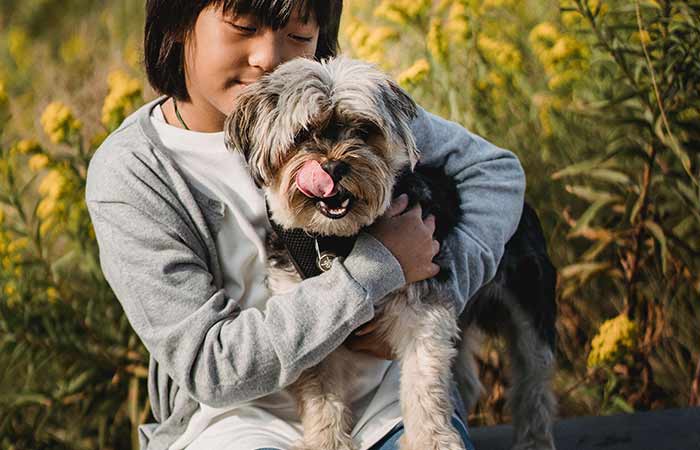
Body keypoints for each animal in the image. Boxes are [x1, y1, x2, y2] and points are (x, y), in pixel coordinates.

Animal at [224, 56, 556, 450]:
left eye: (364, 131)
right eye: (303, 134)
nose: (333, 167)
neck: (336, 242)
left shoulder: (423, 311)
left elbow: (423, 384)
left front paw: (432, 441)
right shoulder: (305, 327)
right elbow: (321, 395)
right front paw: (327, 442)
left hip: (529, 306)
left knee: (533, 382)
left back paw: (535, 438)